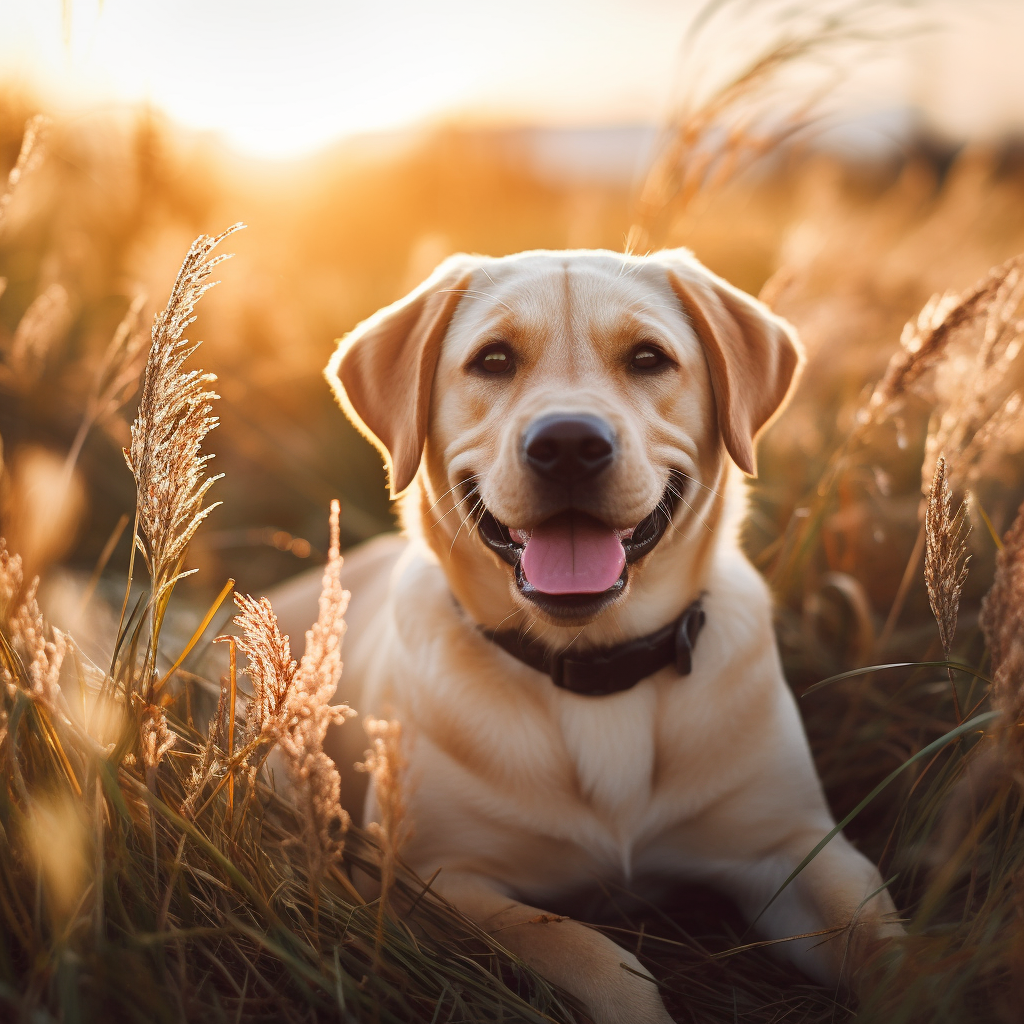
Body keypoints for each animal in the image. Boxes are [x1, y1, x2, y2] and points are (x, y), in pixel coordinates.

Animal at [268, 247, 901, 1024]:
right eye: (494, 359)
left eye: (648, 358)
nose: (568, 443)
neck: (597, 671)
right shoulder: (426, 878)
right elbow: (589, 952)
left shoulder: (797, 846)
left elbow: (887, 949)